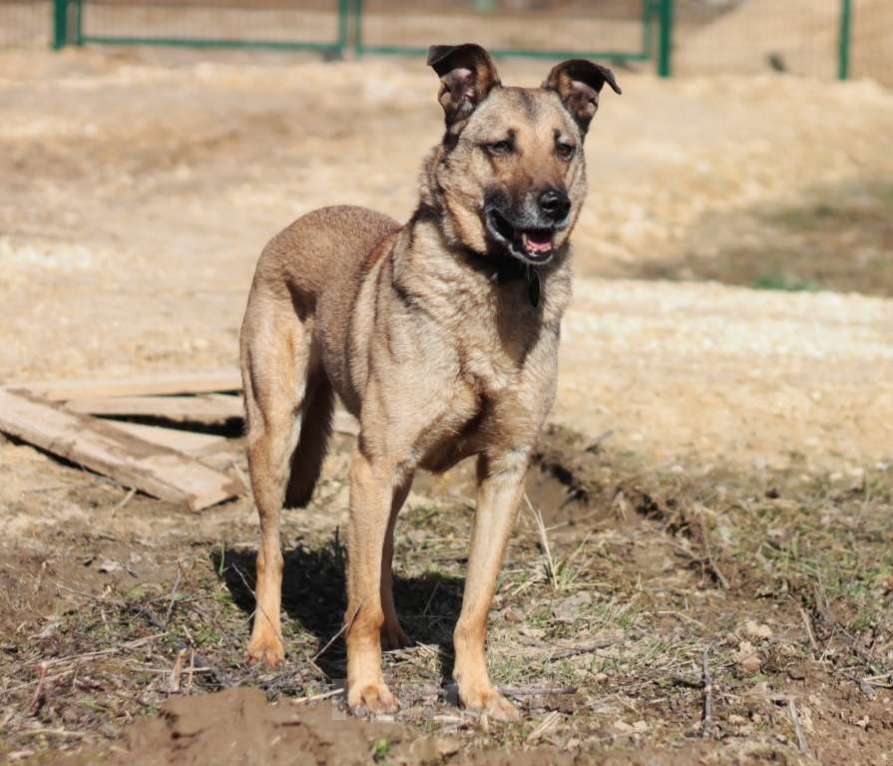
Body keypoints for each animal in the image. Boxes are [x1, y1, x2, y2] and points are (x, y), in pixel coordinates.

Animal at [240, 45, 624, 724]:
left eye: (564, 148)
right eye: (500, 146)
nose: (554, 205)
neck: (493, 287)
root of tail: (298, 222)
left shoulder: (504, 470)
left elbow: (474, 606)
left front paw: (478, 692)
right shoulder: (373, 462)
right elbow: (358, 608)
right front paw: (366, 690)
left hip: (391, 474)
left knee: (382, 552)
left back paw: (396, 630)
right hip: (277, 432)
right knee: (272, 546)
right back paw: (267, 641)